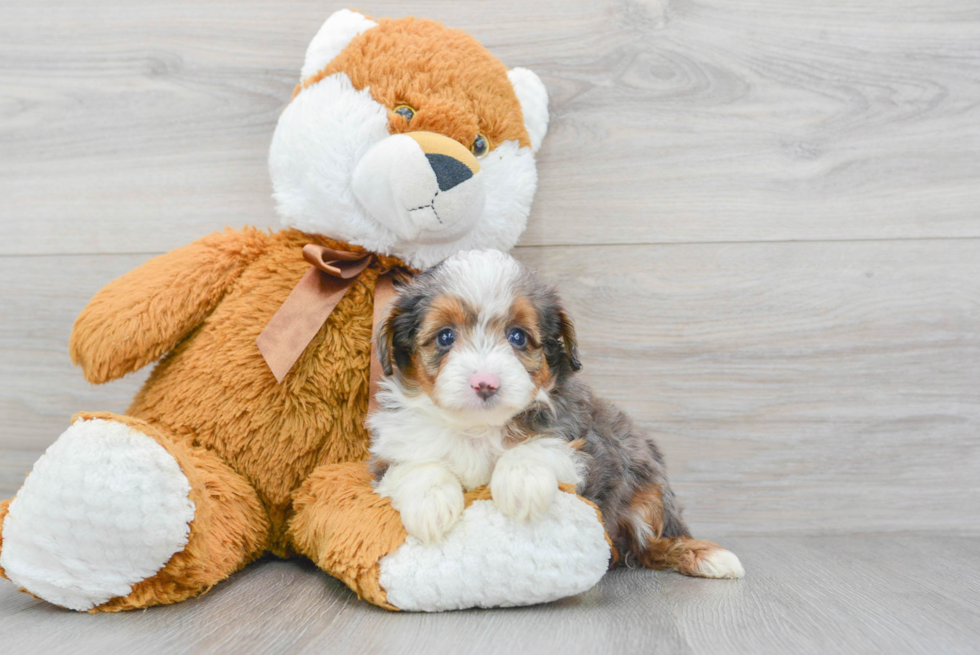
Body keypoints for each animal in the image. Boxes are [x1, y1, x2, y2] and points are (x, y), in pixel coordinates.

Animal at [368, 250, 744, 580]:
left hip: (647, 484)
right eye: (445, 337)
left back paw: (706, 556)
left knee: (655, 540)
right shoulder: (391, 450)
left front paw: (520, 485)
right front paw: (429, 506)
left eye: (517, 337)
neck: (478, 427)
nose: (485, 383)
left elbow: (540, 446)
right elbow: (417, 465)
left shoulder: (580, 439)